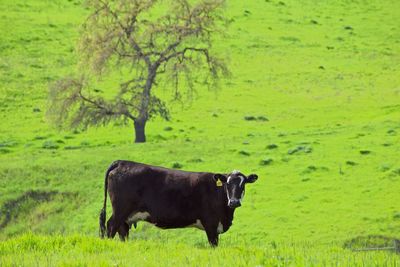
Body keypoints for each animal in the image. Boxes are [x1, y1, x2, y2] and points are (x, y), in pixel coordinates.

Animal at [98, 161, 258, 247]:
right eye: (227, 184)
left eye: (243, 184)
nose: (234, 202)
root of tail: (122, 162)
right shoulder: (211, 225)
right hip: (120, 210)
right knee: (111, 226)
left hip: (126, 216)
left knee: (122, 231)